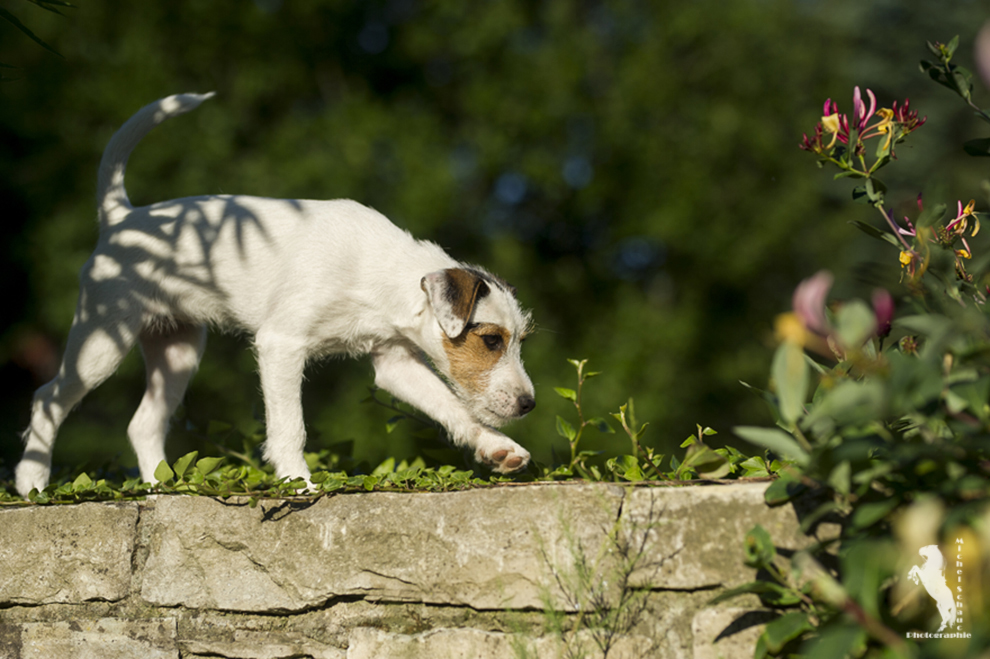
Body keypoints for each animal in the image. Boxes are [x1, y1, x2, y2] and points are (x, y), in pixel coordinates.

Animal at [13, 91, 536, 496]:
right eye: (491, 340)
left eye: (518, 342)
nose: (529, 404)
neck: (381, 272)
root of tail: (122, 219)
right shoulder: (281, 345)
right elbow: (290, 427)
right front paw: (297, 484)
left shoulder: (396, 363)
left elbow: (450, 406)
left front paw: (496, 447)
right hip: (102, 339)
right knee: (47, 398)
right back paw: (31, 483)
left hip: (177, 351)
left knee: (142, 424)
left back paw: (159, 487)